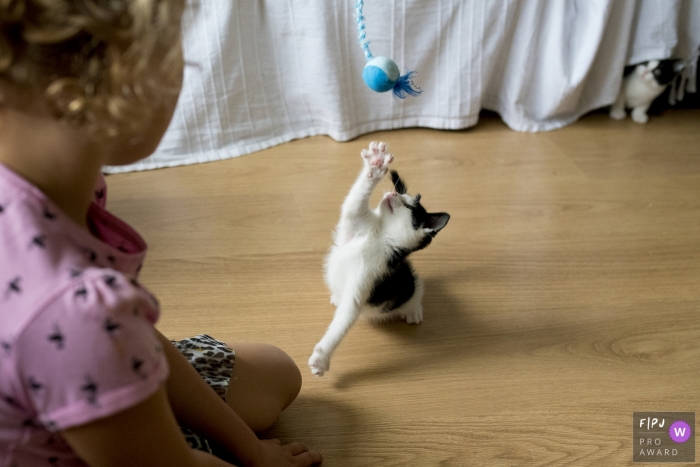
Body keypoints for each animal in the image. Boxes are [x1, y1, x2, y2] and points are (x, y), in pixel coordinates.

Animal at [308, 143, 452, 376]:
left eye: (409, 207)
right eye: (401, 194)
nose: (392, 192)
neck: (379, 236)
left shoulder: (372, 277)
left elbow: (346, 317)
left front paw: (322, 357)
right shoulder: (354, 224)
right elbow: (353, 203)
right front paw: (374, 166)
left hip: (408, 281)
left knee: (417, 288)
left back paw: (413, 310)